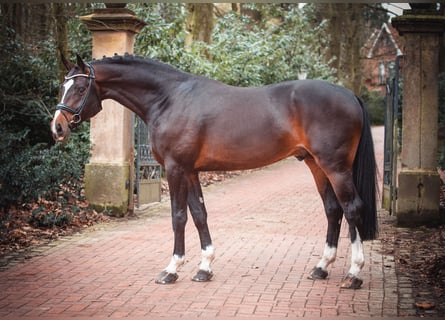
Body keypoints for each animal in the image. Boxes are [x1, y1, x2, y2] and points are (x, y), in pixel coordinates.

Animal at [50, 55, 376, 290]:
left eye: (80, 88)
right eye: (62, 86)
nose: (57, 127)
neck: (168, 99)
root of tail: (350, 94)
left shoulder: (175, 168)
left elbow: (178, 217)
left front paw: (172, 269)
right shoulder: (191, 171)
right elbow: (199, 214)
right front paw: (204, 268)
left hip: (335, 167)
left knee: (351, 208)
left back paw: (354, 274)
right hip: (315, 164)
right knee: (333, 209)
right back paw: (321, 268)